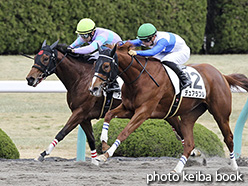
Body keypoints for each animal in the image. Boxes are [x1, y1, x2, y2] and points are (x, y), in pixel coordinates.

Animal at [89, 42, 248, 173]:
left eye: (106, 66)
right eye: (95, 64)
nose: (93, 88)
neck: (139, 79)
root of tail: (222, 75)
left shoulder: (143, 112)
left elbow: (124, 132)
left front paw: (105, 155)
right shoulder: (129, 109)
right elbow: (109, 115)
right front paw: (104, 143)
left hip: (220, 114)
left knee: (228, 138)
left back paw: (234, 167)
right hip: (188, 116)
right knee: (189, 143)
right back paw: (177, 169)